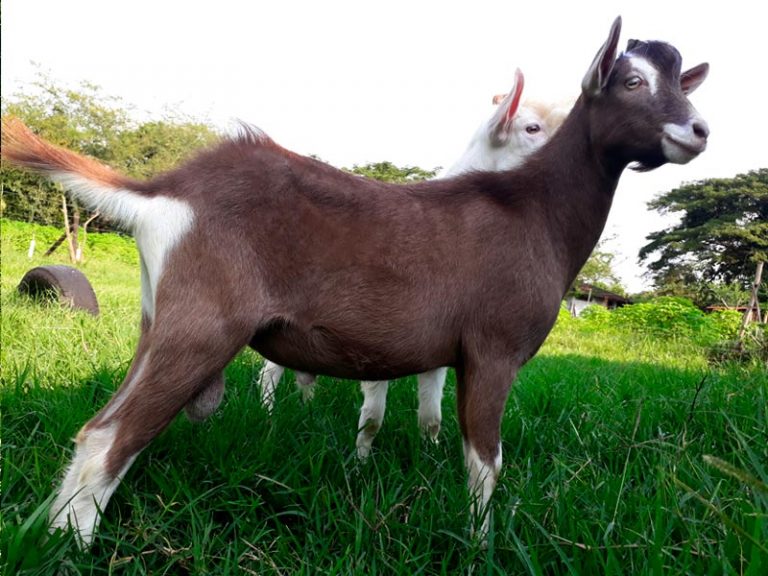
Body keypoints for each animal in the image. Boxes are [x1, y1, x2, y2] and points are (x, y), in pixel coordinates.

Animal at [1, 14, 708, 544]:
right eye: (632, 81)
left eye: (686, 85)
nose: (697, 130)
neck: (531, 209)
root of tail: (164, 191)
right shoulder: (493, 348)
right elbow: (486, 461)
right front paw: (481, 542)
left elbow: (430, 426)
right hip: (202, 325)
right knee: (108, 436)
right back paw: (71, 548)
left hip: (159, 321)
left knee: (100, 430)